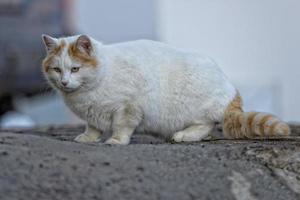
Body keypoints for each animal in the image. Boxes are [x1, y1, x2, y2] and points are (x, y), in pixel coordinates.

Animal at [41, 34, 290, 144]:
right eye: (56, 69)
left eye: (75, 69)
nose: (64, 82)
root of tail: (231, 90)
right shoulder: (93, 112)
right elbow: (92, 127)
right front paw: (88, 138)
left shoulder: (129, 107)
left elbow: (122, 126)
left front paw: (116, 141)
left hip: (190, 109)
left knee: (206, 125)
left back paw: (183, 136)